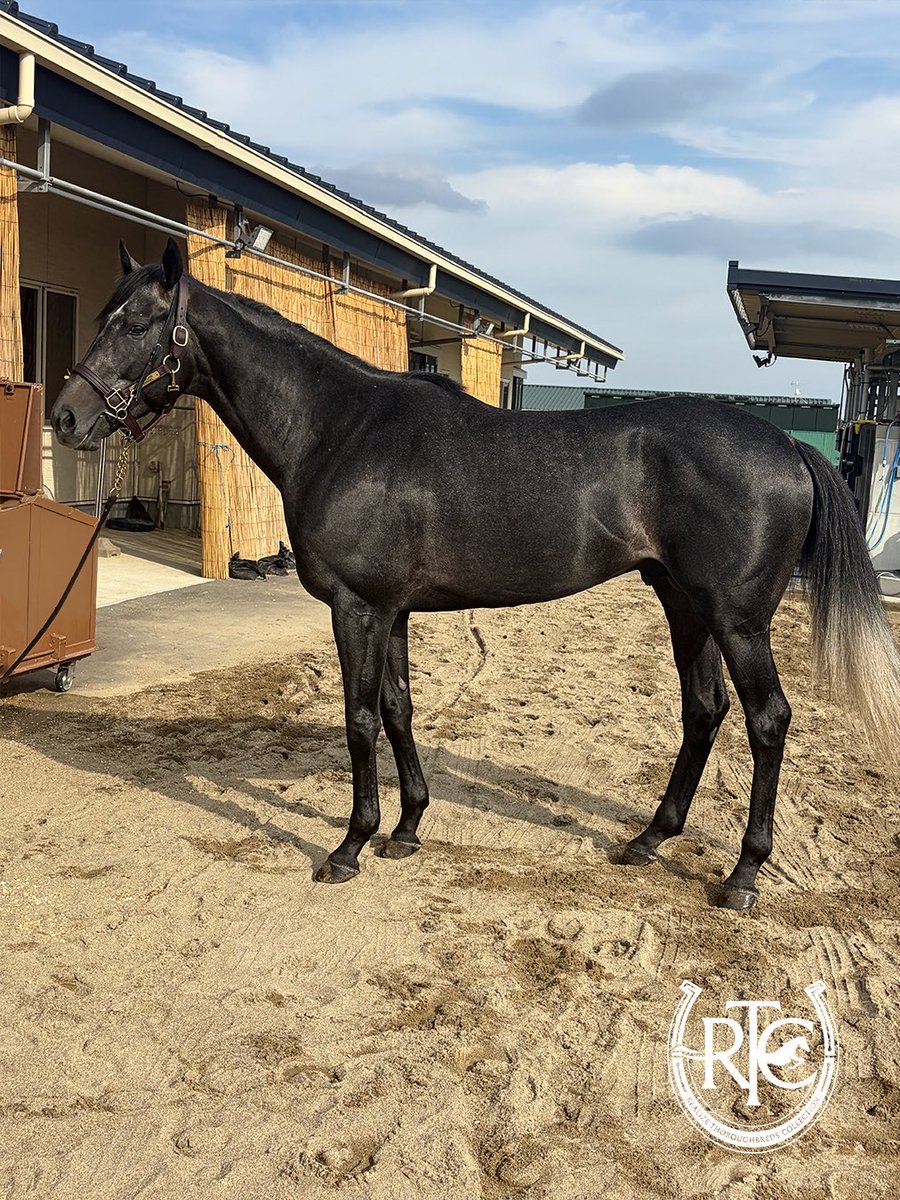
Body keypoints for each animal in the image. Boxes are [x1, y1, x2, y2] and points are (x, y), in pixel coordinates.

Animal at [51, 239, 900, 910]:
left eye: (136, 324)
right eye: (102, 318)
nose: (66, 417)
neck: (339, 429)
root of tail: (790, 448)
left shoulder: (356, 608)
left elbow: (359, 720)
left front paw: (349, 848)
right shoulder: (390, 610)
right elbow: (398, 711)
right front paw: (406, 829)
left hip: (736, 619)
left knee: (767, 720)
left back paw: (743, 876)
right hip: (683, 605)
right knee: (704, 711)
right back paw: (649, 840)